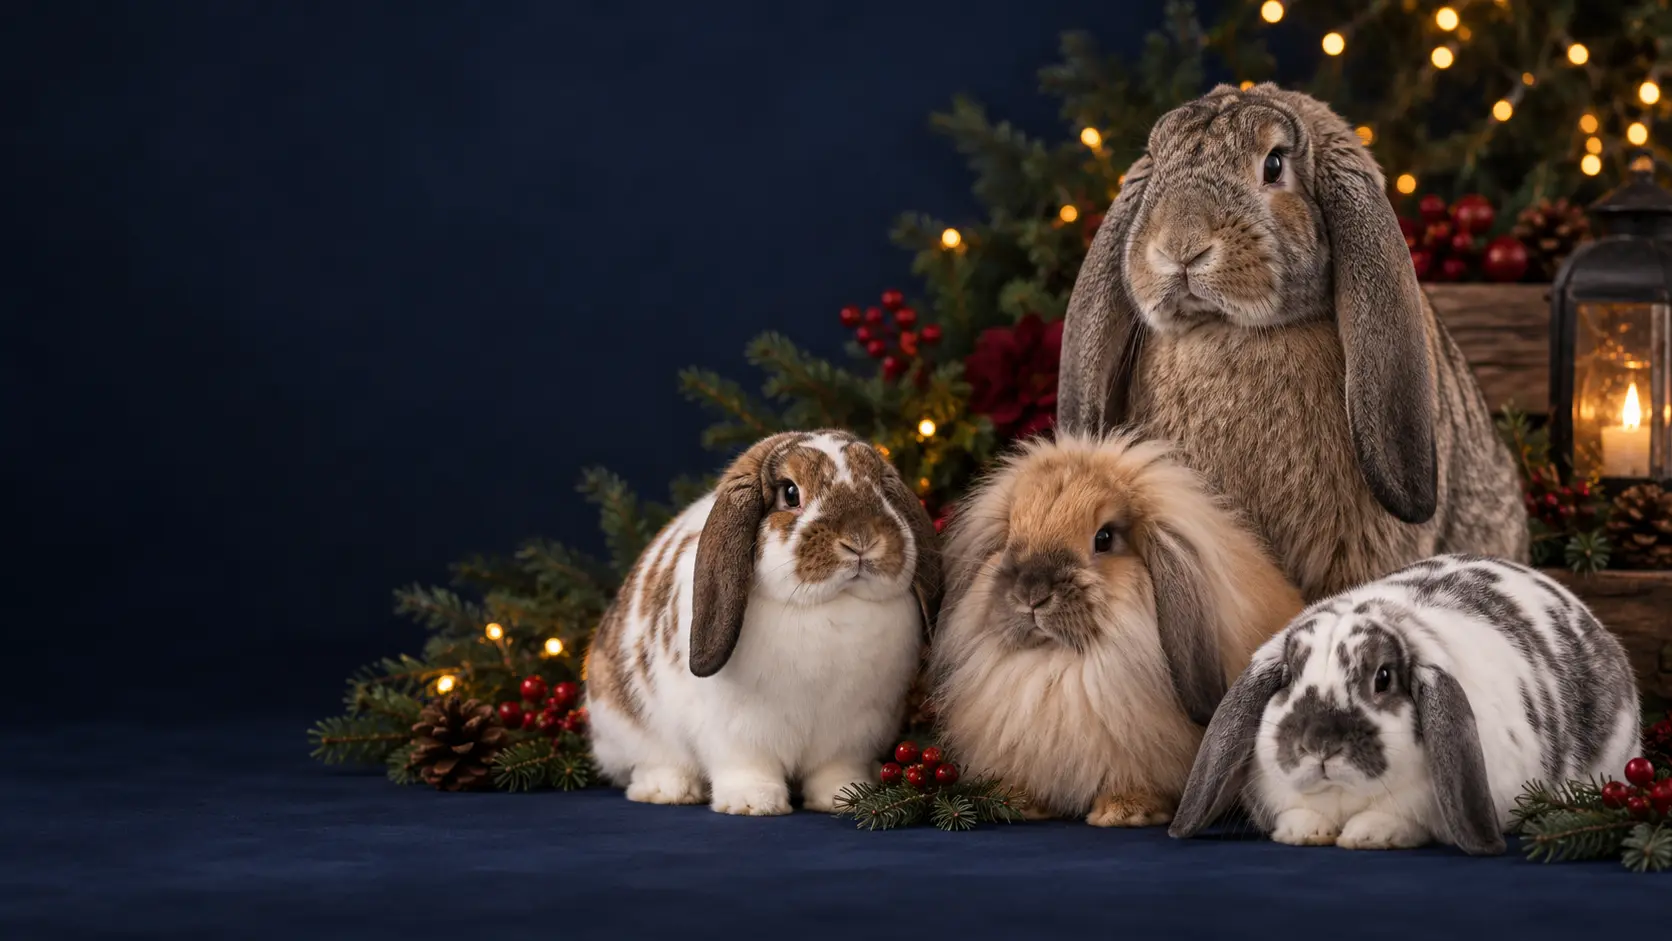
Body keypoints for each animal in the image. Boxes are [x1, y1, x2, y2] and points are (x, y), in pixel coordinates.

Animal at [583, 430, 939, 816]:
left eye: (880, 490)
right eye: (790, 493)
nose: (861, 539)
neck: (830, 606)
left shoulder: (852, 734)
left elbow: (836, 769)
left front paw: (842, 797)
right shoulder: (737, 734)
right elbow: (747, 767)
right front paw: (754, 803)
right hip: (630, 725)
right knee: (651, 762)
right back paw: (668, 790)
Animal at [929, 431, 1303, 826]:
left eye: (1104, 538)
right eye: (1010, 535)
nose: (1031, 594)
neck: (1061, 667)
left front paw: (1125, 811)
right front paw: (1016, 803)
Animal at [1169, 554, 1640, 855]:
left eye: (1382, 677)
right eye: (1288, 676)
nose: (1319, 744)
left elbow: (1401, 823)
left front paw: (1365, 835)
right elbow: (1298, 815)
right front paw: (1307, 832)